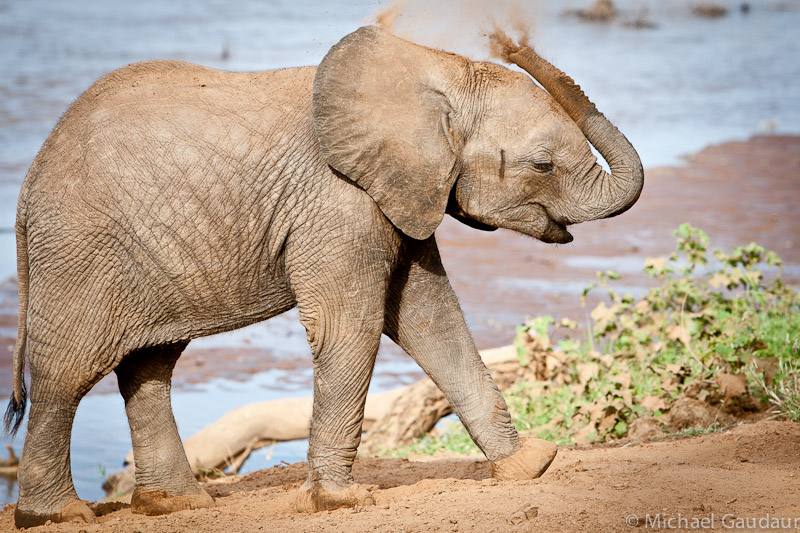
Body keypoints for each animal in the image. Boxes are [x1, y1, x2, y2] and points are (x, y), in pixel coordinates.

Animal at [3, 23, 644, 524]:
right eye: (542, 164)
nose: (508, 40)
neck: (435, 70)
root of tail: (31, 181)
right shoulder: (340, 201)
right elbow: (351, 329)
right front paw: (341, 503)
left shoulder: (399, 192)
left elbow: (433, 321)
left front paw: (534, 463)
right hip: (81, 248)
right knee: (65, 375)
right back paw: (57, 514)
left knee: (150, 365)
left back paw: (178, 506)